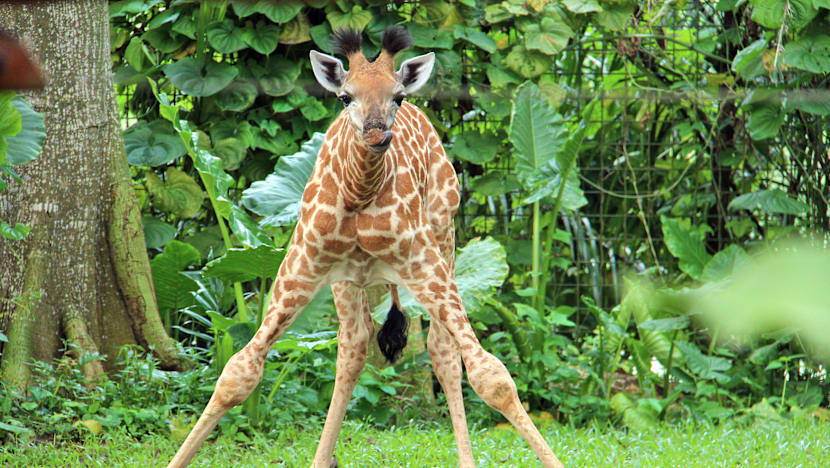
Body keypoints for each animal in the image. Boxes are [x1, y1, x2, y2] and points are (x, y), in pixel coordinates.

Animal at [167, 26, 564, 468]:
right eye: (345, 96)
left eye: (398, 96)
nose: (376, 133)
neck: (358, 193)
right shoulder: (299, 268)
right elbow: (237, 371)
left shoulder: (423, 262)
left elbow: (493, 375)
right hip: (346, 280)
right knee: (354, 346)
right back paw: (322, 458)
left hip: (443, 239)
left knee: (441, 350)